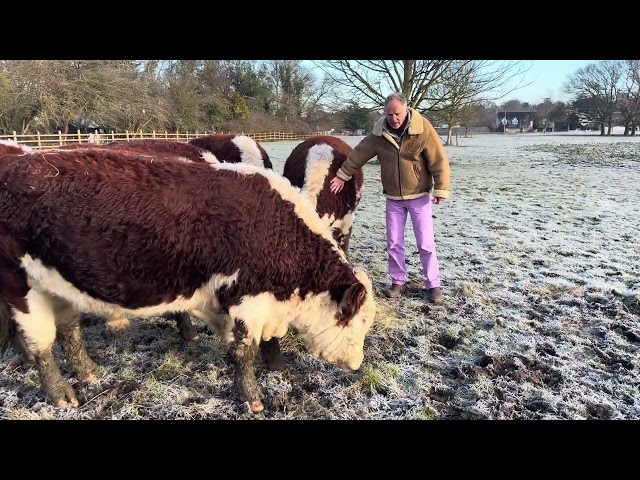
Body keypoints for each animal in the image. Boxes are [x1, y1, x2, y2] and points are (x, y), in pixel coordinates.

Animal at [0, 149, 378, 412]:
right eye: (360, 321)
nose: (357, 364)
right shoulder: (248, 301)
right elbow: (245, 351)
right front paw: (252, 397)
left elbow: (263, 343)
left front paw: (276, 364)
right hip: (21, 287)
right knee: (41, 344)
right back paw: (61, 394)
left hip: (60, 285)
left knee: (69, 330)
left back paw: (89, 373)